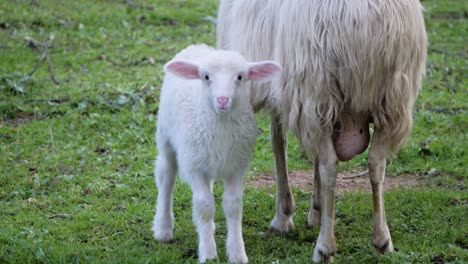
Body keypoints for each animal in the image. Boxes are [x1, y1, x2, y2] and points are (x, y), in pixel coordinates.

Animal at [152, 44, 280, 262]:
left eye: (240, 77)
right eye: (206, 77)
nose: (222, 100)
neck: (220, 125)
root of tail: (196, 46)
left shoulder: (236, 167)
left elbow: (233, 206)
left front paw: (237, 253)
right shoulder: (195, 168)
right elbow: (204, 207)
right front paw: (208, 253)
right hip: (166, 137)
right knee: (166, 178)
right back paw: (163, 228)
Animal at [218, 0, 426, 262]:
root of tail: (361, 18)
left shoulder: (279, 88)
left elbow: (278, 143)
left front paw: (283, 217)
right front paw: (316, 211)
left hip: (315, 86)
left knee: (329, 165)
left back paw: (325, 247)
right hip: (391, 98)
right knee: (376, 163)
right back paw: (381, 240)